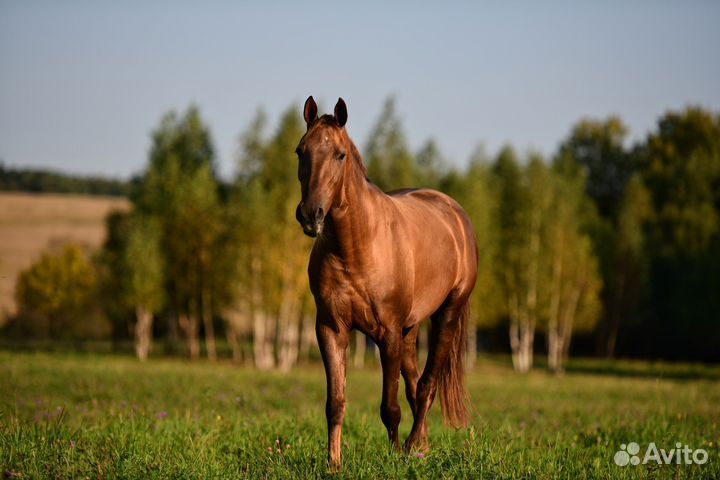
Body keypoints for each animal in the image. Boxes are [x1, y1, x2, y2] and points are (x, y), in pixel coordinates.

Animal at [295, 96, 478, 471]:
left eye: (340, 154)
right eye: (300, 151)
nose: (310, 214)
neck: (355, 247)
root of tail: (455, 213)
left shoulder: (388, 334)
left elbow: (389, 407)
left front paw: (395, 456)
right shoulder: (331, 329)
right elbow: (335, 403)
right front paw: (333, 463)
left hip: (446, 315)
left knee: (427, 385)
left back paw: (411, 446)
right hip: (410, 330)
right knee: (415, 384)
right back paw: (422, 445)